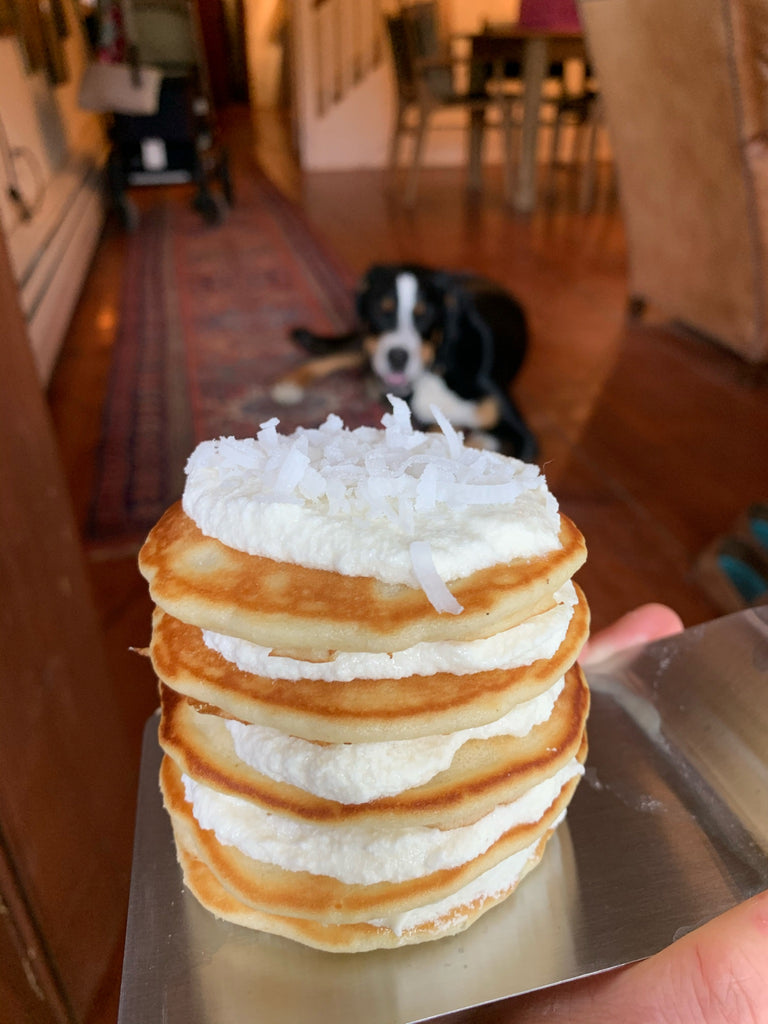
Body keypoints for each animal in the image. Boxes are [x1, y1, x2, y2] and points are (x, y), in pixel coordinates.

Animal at [274, 264, 536, 460]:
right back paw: (288, 384)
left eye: (425, 314)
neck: (436, 371)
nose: (397, 356)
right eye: (381, 311)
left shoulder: (524, 438)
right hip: (367, 343)